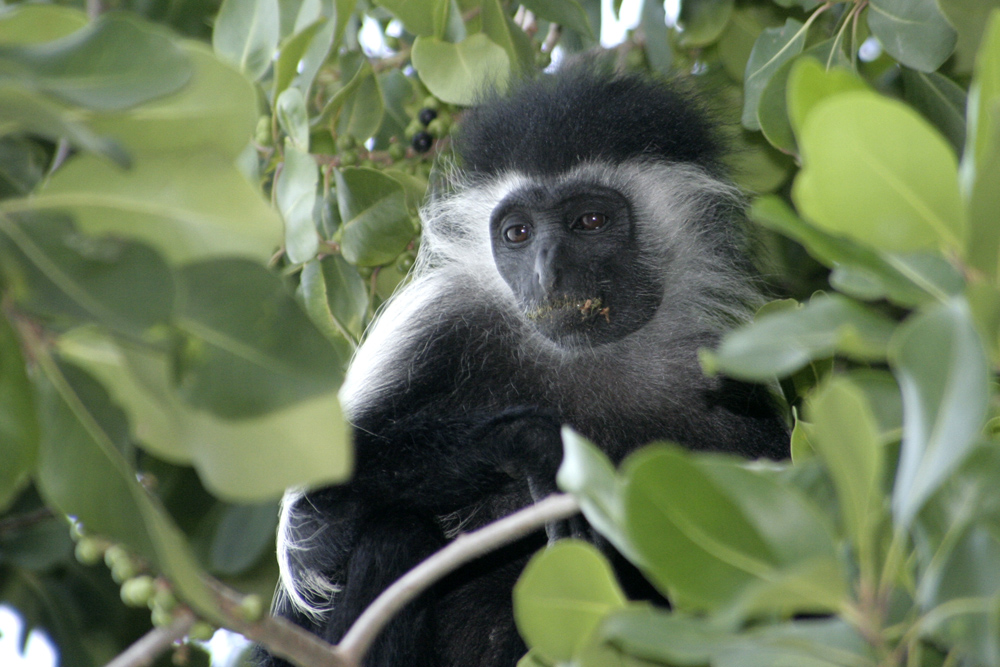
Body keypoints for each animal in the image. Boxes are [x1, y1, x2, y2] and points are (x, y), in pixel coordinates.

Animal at [260, 61, 788, 667]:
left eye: (589, 221)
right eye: (518, 232)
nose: (547, 270)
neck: (584, 359)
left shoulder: (730, 385)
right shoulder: (434, 325)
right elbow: (315, 518)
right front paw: (536, 448)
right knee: (394, 532)